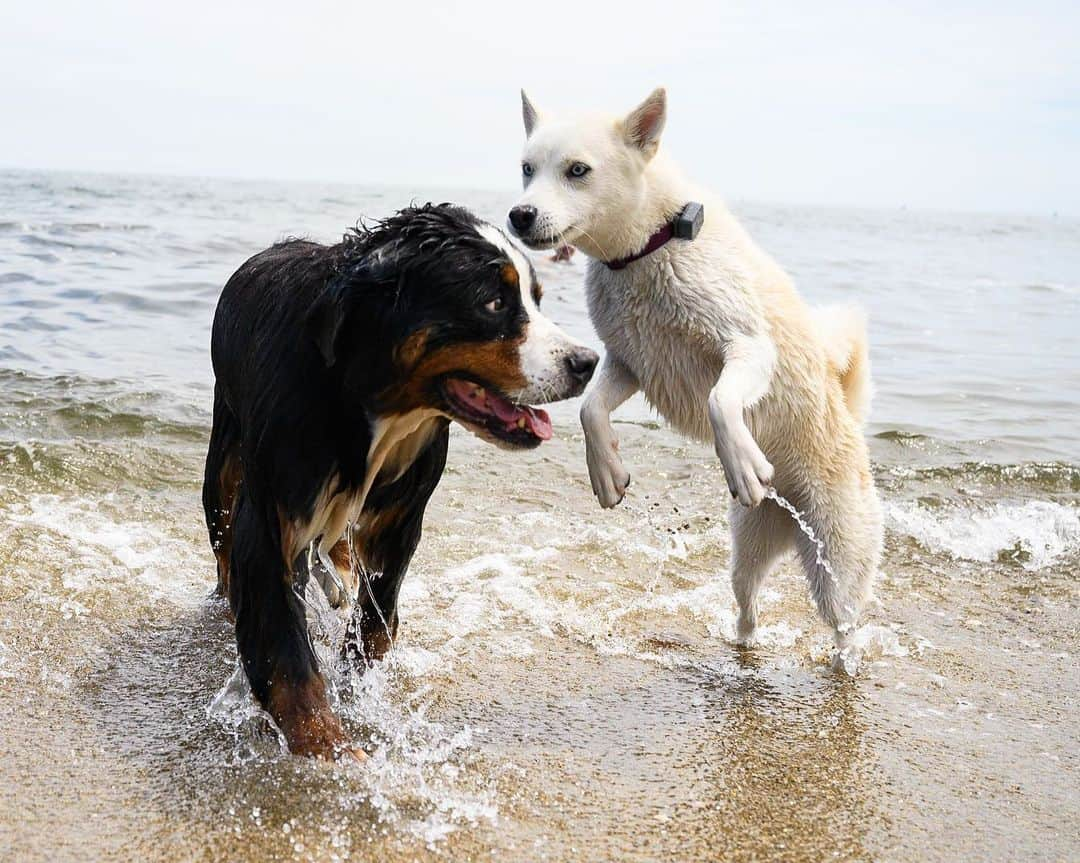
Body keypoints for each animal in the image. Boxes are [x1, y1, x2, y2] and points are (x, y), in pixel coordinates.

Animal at [198, 206, 596, 760]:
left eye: (536, 299)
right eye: (493, 302)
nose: (586, 362)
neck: (367, 406)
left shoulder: (401, 518)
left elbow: (376, 624)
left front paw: (355, 689)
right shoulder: (271, 520)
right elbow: (286, 658)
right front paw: (330, 749)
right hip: (223, 465)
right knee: (223, 550)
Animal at [505, 89, 885, 661]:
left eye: (577, 170)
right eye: (527, 168)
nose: (520, 215)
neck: (651, 244)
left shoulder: (747, 347)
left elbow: (720, 402)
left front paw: (744, 464)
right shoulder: (629, 362)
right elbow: (591, 409)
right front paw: (607, 471)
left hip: (836, 565)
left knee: (847, 627)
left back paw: (845, 660)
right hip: (747, 550)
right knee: (749, 609)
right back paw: (741, 647)